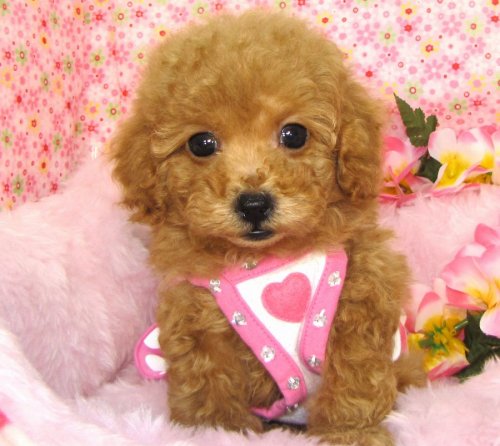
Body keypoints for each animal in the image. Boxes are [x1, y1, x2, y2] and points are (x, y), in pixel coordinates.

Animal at [111, 11, 425, 446]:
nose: (254, 204)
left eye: (294, 134)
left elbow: (353, 378)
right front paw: (216, 431)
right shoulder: (197, 321)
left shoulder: (361, 298)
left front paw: (351, 433)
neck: (262, 261)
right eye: (201, 143)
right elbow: (208, 386)